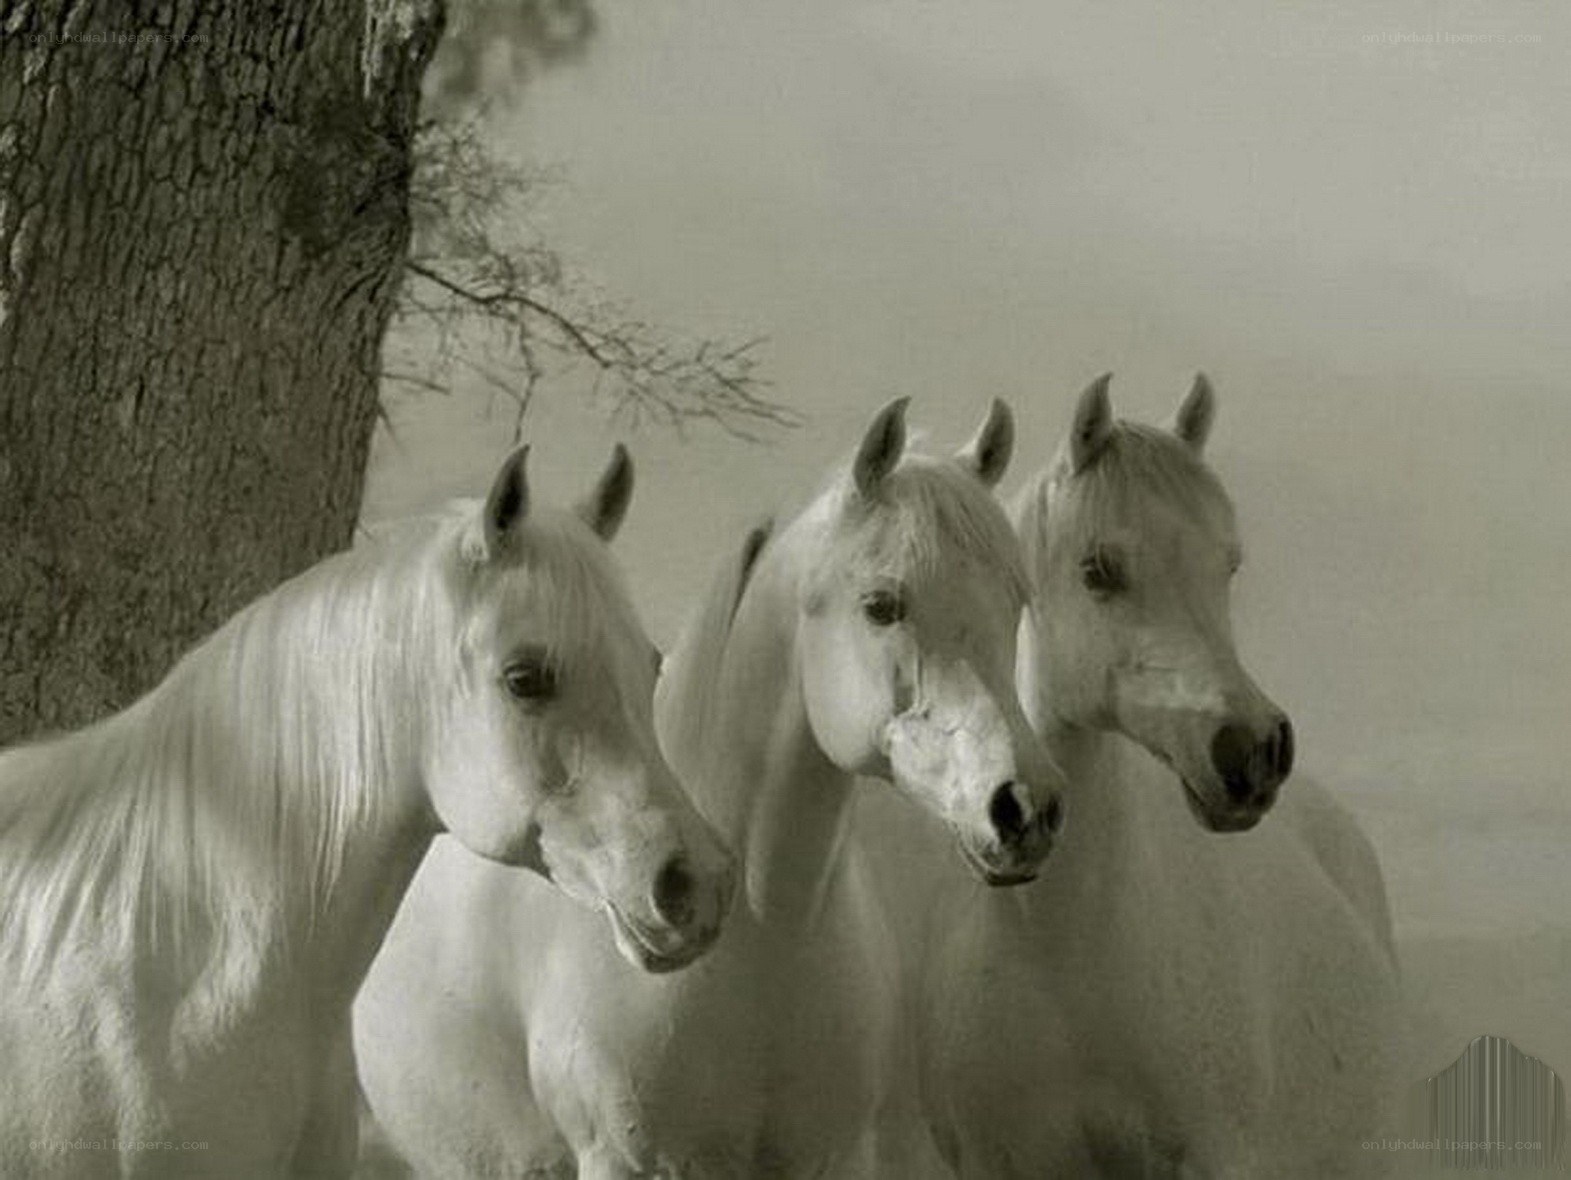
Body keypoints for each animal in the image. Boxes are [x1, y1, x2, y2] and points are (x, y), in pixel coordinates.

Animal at [352, 398, 1066, 1179]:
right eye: (883, 605)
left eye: (1012, 600)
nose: (1022, 807)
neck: (765, 941)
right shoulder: (625, 1161)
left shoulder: (829, 1158)